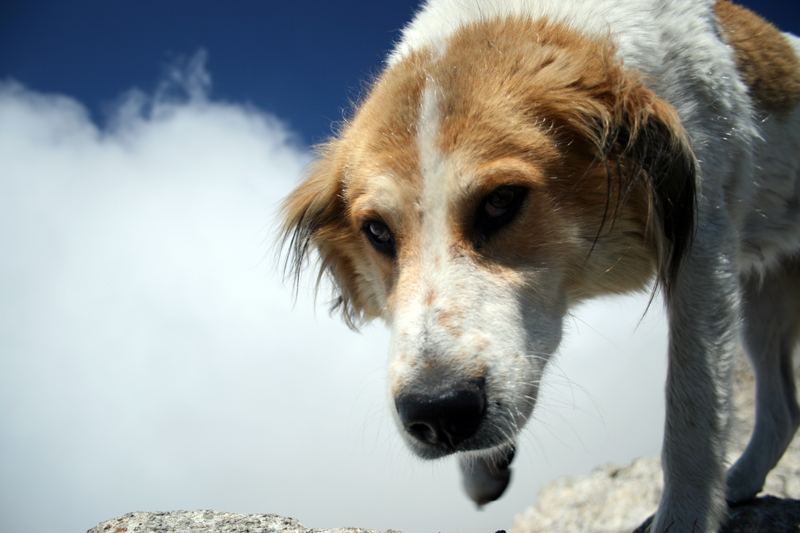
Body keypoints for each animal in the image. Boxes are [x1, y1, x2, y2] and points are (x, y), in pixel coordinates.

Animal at [280, 1, 800, 531]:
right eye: (377, 231)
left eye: (501, 200)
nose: (438, 413)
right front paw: (481, 466)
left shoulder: (704, 244)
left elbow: (692, 409)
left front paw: (683, 517)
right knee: (784, 411)